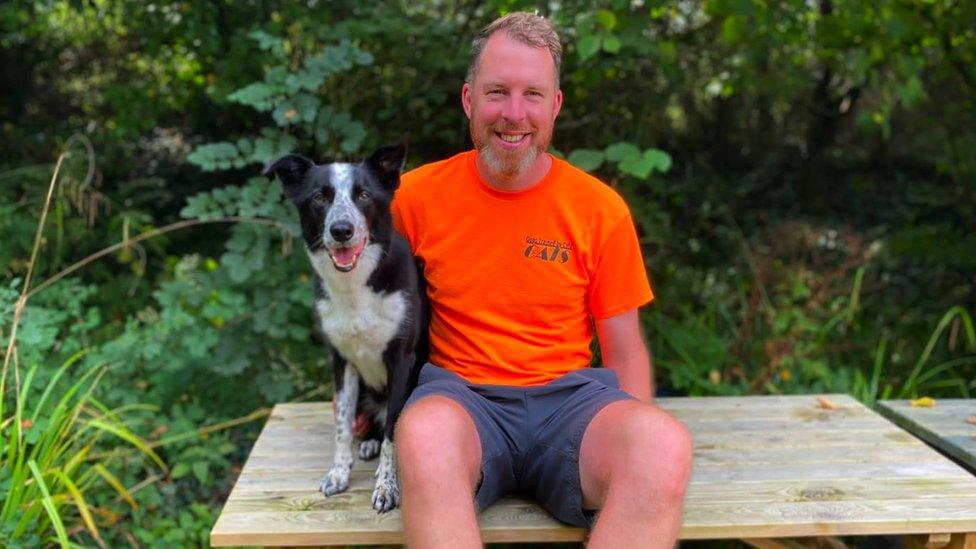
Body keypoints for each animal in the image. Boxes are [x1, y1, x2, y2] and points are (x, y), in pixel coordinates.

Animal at [264, 143, 426, 512]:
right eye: (318, 198)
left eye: (364, 195)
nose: (341, 230)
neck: (354, 287)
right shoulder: (342, 360)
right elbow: (341, 424)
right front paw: (338, 474)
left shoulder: (402, 359)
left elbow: (394, 429)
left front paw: (386, 487)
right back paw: (367, 443)